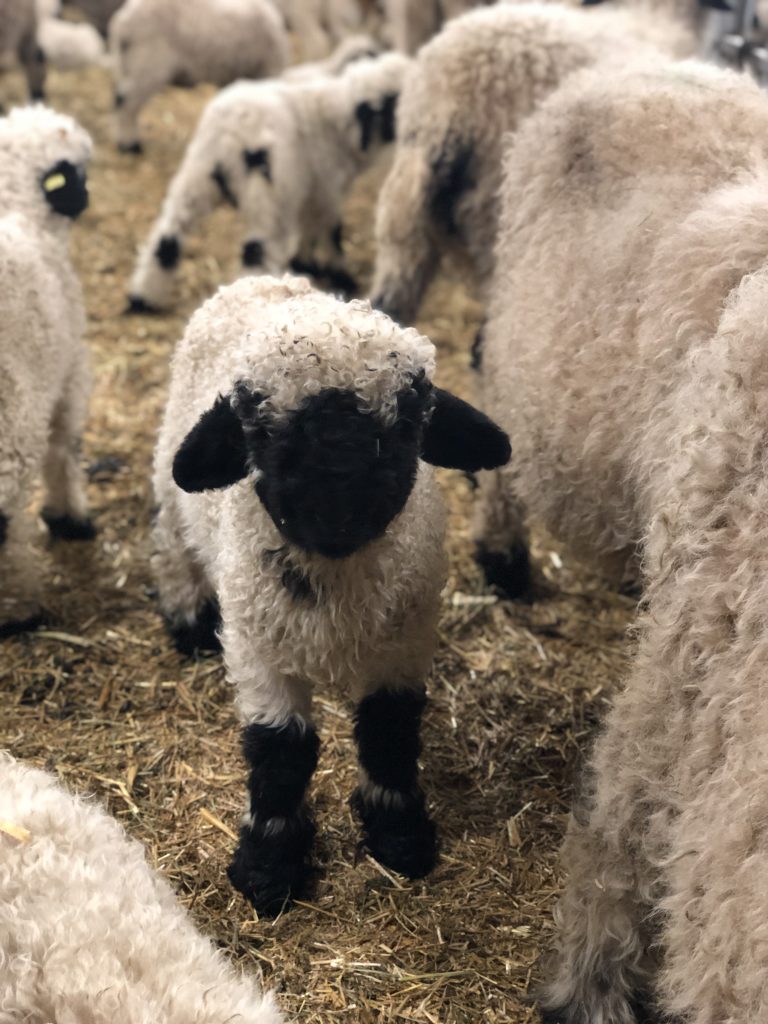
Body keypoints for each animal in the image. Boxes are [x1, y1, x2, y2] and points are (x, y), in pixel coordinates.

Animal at [109, 0, 289, 154]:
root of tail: (122, 22)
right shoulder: (266, 70)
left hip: (127, 65)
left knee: (119, 98)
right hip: (147, 65)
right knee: (127, 104)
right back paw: (130, 145)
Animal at [127, 51, 411, 314]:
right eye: (394, 103)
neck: (333, 121)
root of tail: (233, 131)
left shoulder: (310, 190)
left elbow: (309, 230)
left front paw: (305, 264)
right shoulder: (326, 190)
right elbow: (331, 231)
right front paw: (338, 274)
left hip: (195, 176)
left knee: (167, 237)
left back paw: (143, 299)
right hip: (269, 194)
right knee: (256, 250)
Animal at [151, 273, 511, 914]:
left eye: (407, 425)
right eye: (259, 429)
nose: (336, 516)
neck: (336, 584)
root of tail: (268, 279)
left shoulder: (405, 644)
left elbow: (389, 733)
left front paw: (399, 835)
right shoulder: (259, 650)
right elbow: (279, 754)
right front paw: (268, 865)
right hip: (173, 488)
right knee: (171, 540)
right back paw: (188, 619)